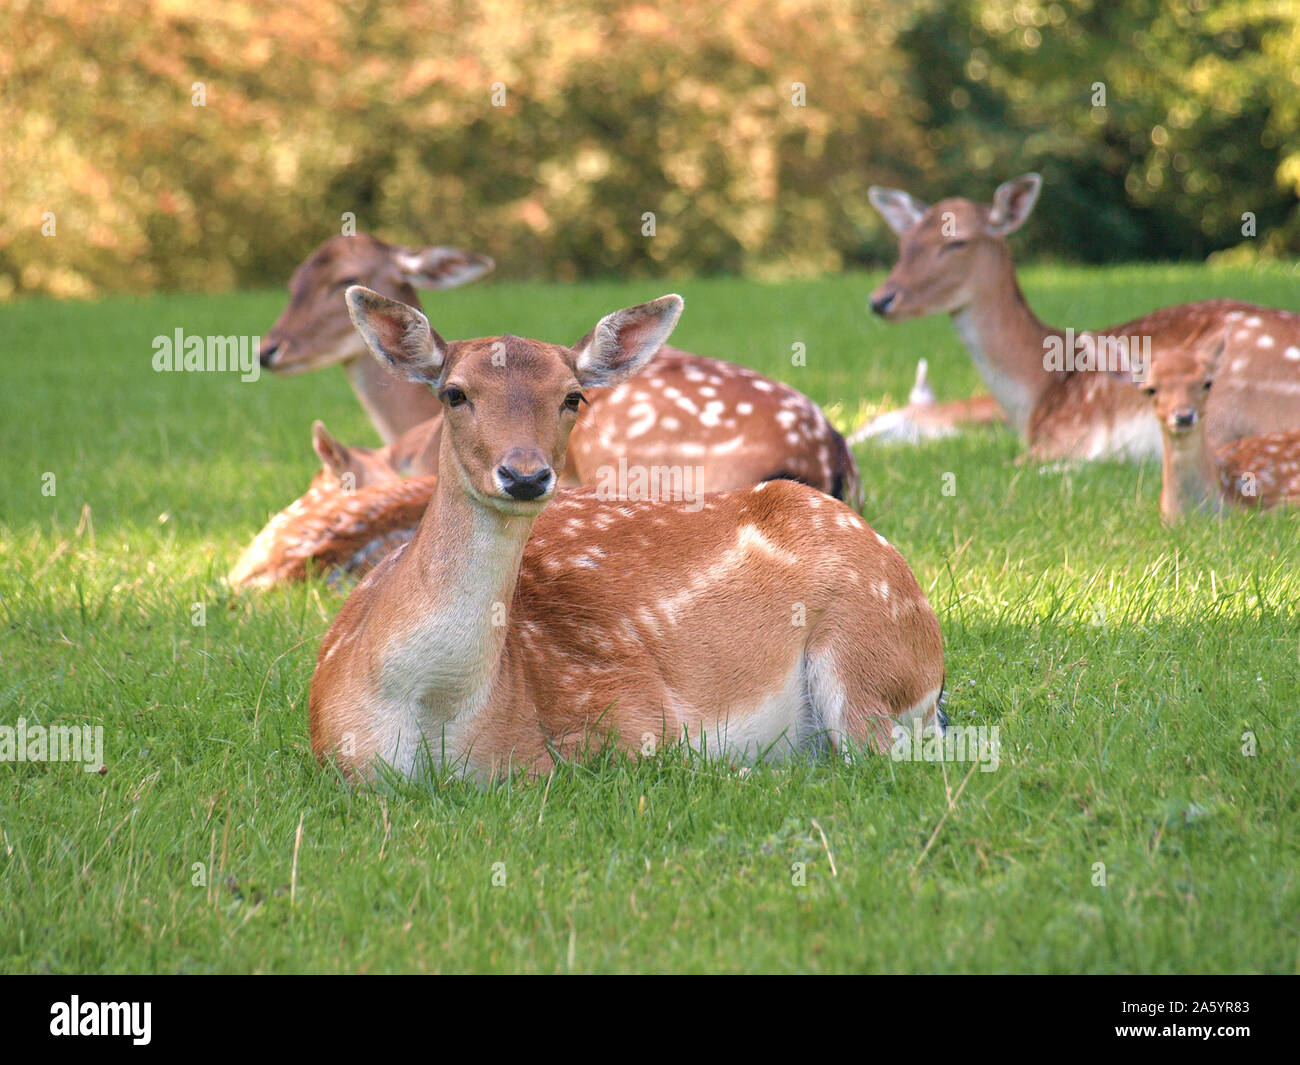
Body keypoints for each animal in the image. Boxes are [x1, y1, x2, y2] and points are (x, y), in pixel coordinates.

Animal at [312, 287, 946, 780]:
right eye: (454, 393)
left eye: (573, 395)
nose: (526, 475)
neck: (432, 714)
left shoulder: (628, 705)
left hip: (868, 652)